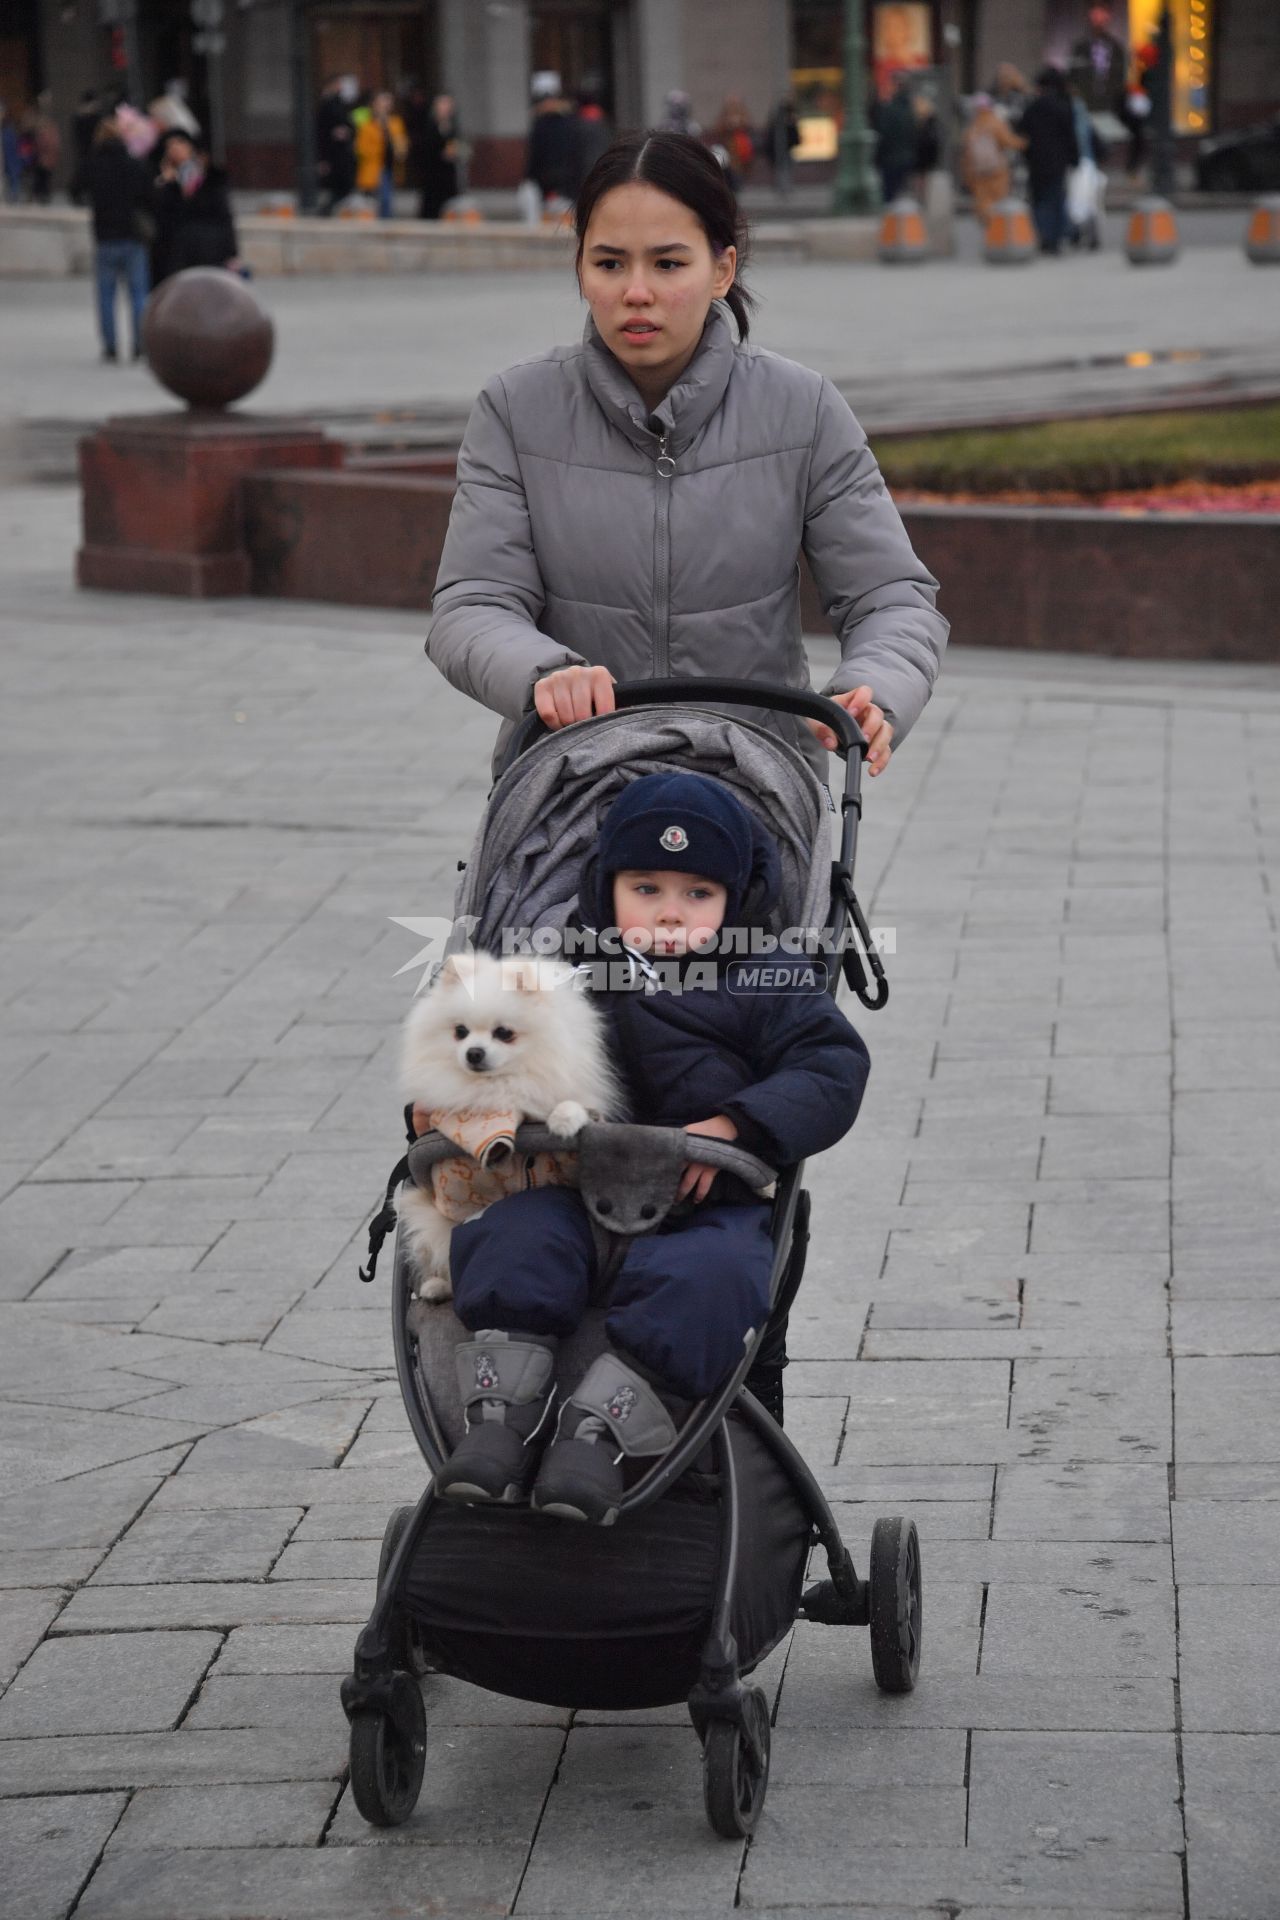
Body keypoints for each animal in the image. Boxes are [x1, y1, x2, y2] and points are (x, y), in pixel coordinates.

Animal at [401, 948, 621, 1305]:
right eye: (460, 1032)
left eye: (504, 1033)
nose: (474, 1053)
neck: (502, 1084)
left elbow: (570, 1104)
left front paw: (565, 1118)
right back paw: (436, 1287)